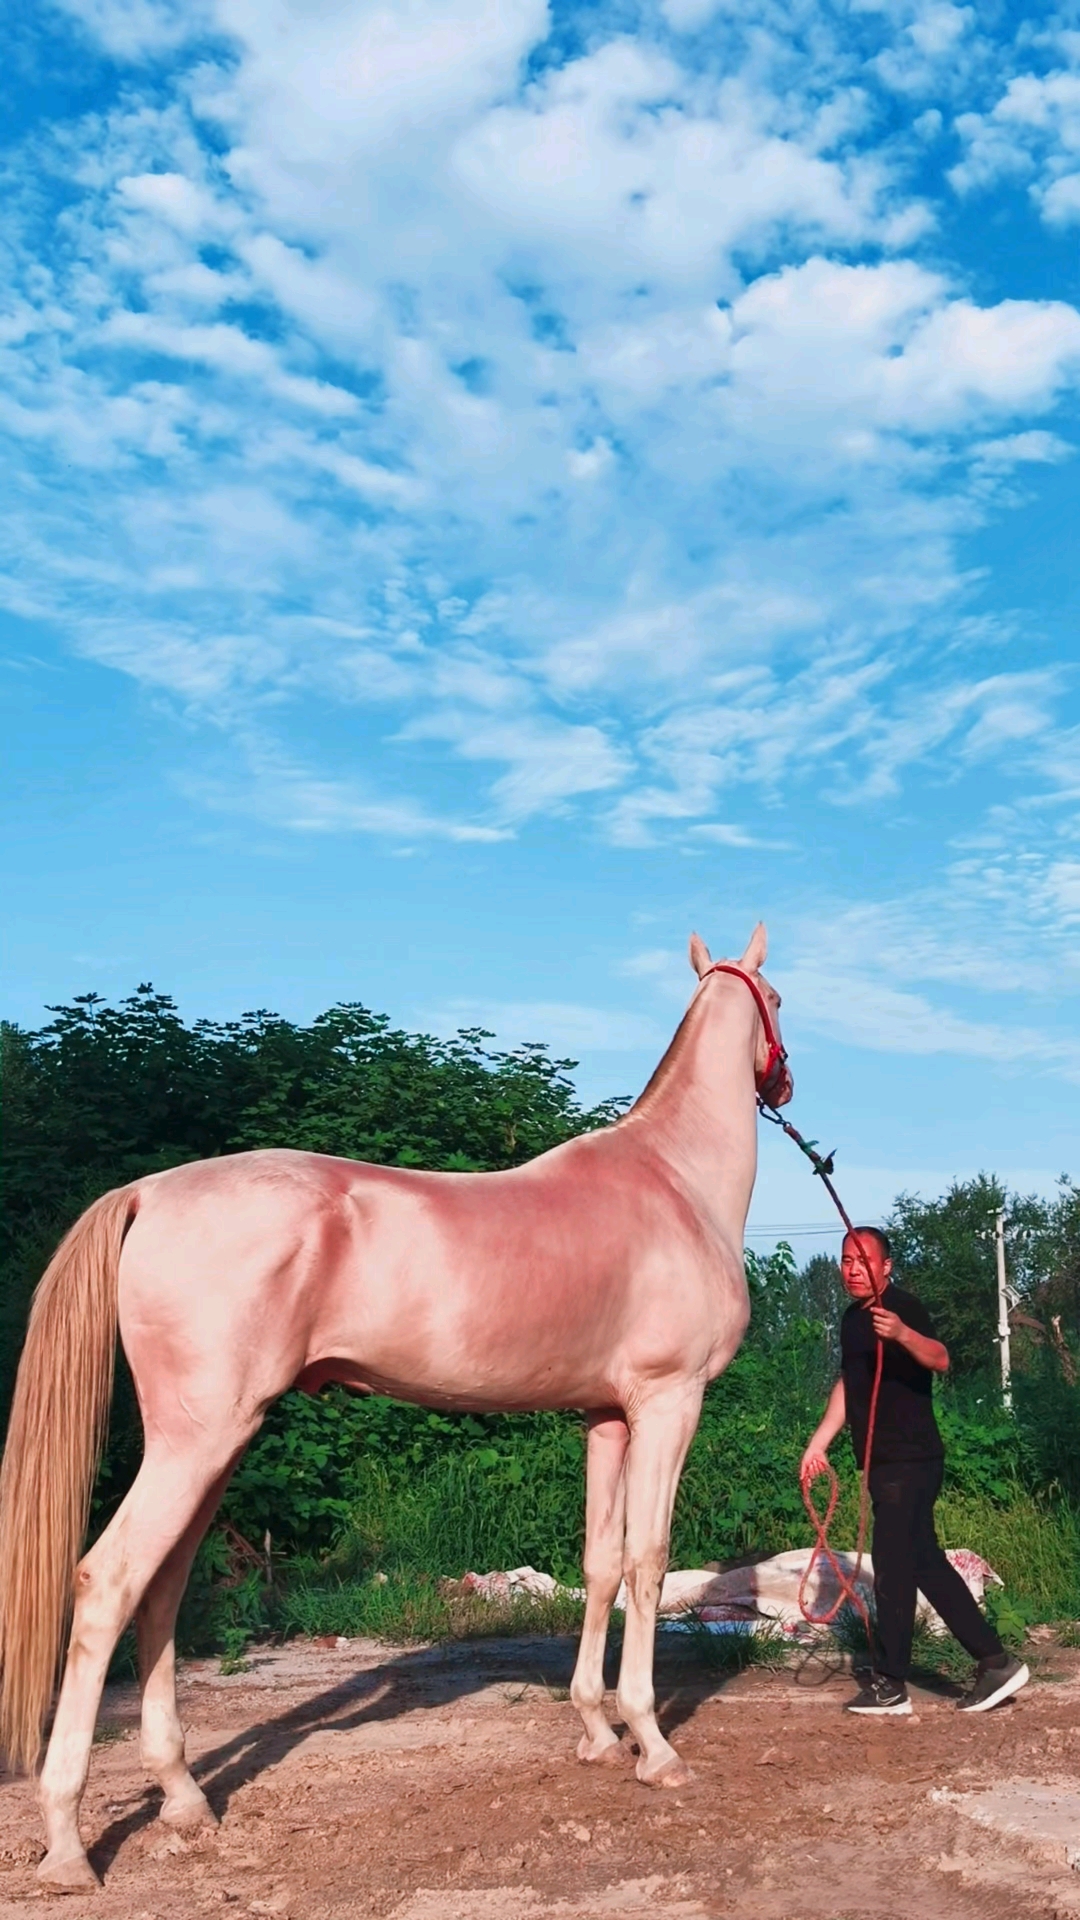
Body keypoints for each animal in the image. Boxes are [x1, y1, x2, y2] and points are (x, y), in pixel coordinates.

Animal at [0, 924, 791, 1891]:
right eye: (778, 1002)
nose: (783, 1087)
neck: (674, 1180)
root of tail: (146, 1192)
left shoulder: (605, 1417)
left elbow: (600, 1563)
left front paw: (598, 1734)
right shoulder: (668, 1403)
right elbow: (648, 1561)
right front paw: (653, 1746)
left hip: (206, 1447)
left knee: (163, 1588)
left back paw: (185, 1802)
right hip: (196, 1445)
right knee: (108, 1582)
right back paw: (68, 1846)